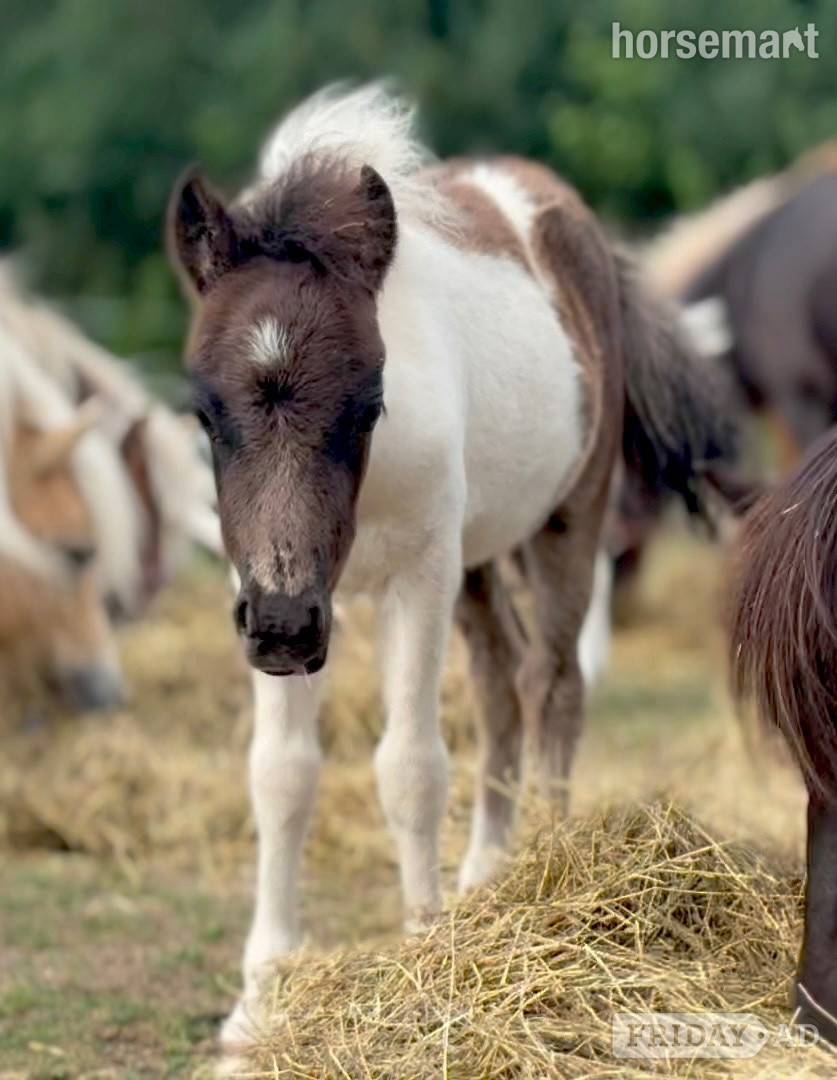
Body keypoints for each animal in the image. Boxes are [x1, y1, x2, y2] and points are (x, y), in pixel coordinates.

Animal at [166, 84, 739, 1048]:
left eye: (370, 404)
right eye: (203, 412)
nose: (283, 627)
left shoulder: (417, 576)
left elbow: (409, 766)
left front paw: (421, 959)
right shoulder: (269, 589)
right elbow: (280, 773)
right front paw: (257, 1002)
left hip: (563, 518)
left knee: (551, 683)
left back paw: (550, 870)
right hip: (474, 560)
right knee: (502, 681)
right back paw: (487, 879)